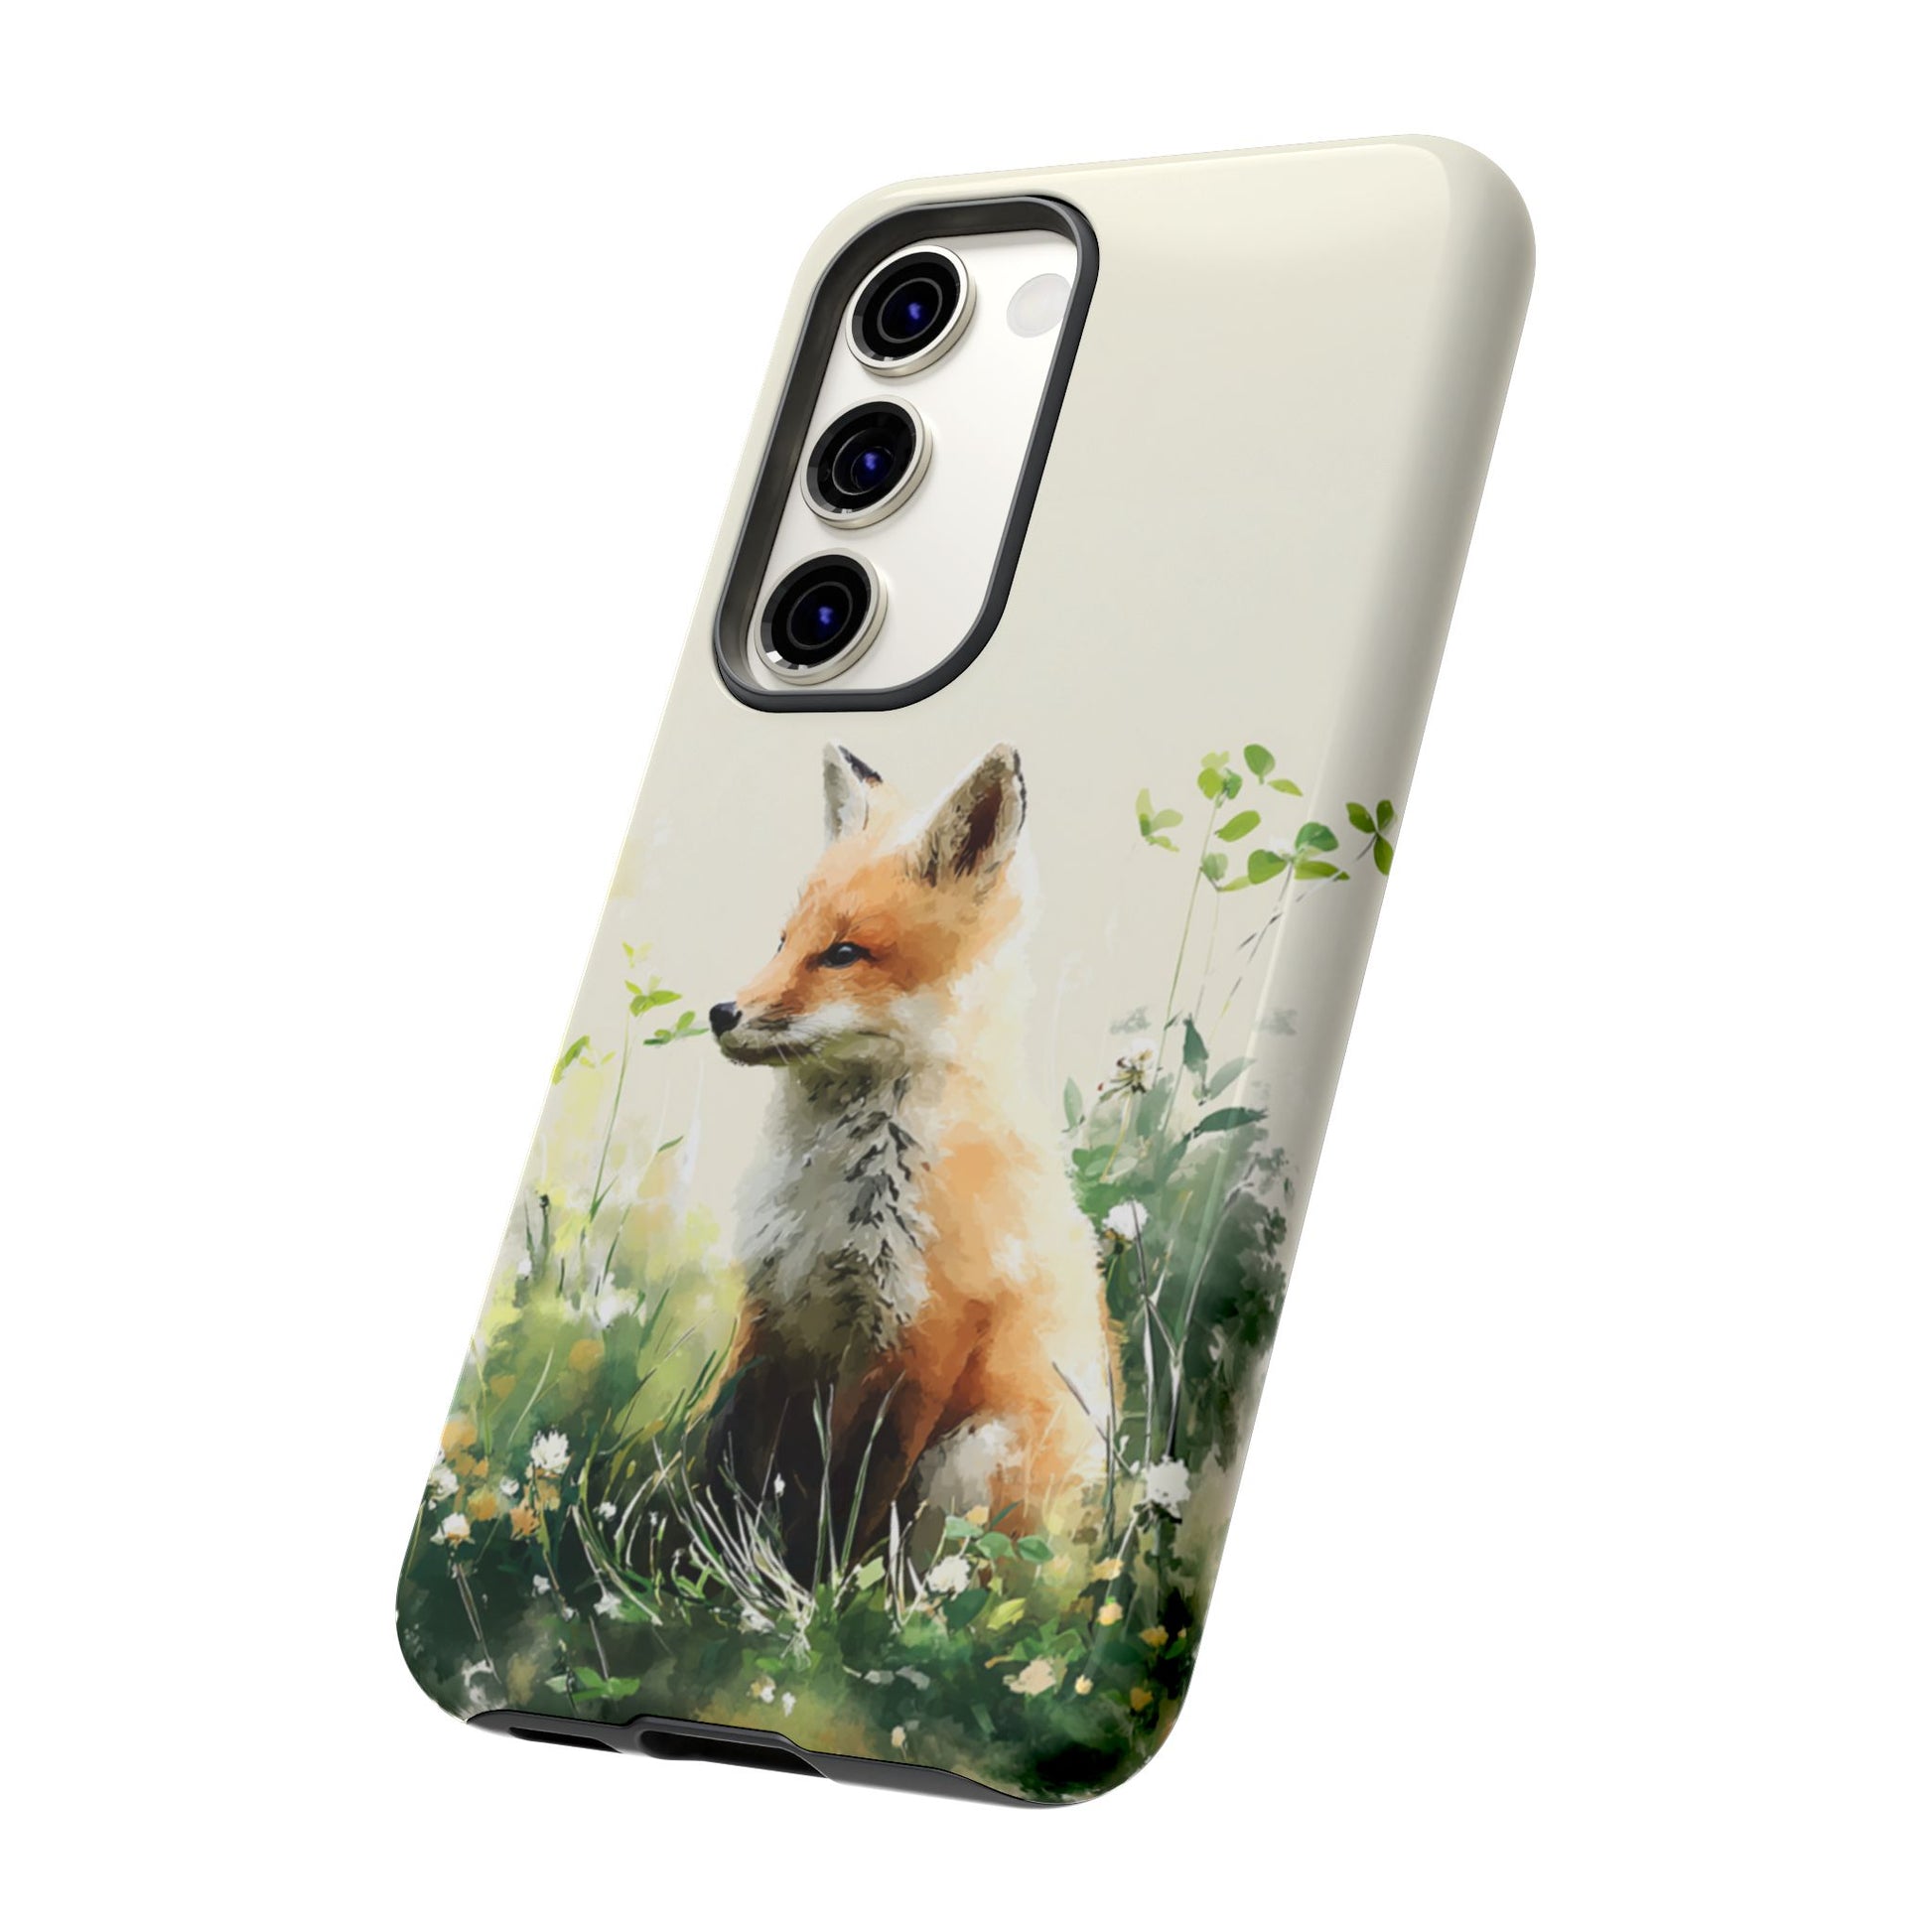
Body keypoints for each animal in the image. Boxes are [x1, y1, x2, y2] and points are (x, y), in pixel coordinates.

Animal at [701, 741, 1111, 1575]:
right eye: (783, 941)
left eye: (844, 954)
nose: (723, 1014)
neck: (826, 1189)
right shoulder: (774, 1304)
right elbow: (727, 1454)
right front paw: (705, 1562)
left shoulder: (918, 1332)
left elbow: (850, 1496)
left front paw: (809, 1592)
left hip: (971, 1461)